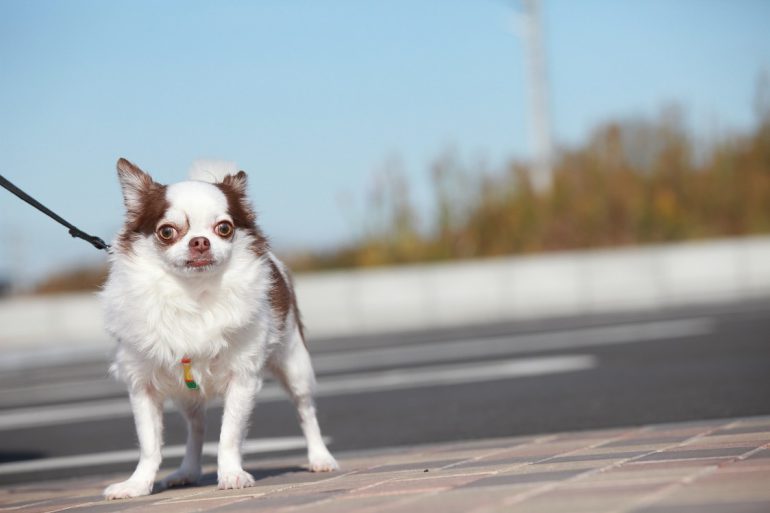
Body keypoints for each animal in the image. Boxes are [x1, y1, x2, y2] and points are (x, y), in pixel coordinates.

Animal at [100, 158, 336, 498]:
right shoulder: (142, 384)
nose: (200, 241)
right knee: (197, 427)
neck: (194, 294)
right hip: (186, 394)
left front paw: (232, 475)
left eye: (224, 228)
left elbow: (229, 435)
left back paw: (320, 458)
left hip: (294, 364)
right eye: (167, 232)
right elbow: (149, 444)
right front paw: (137, 484)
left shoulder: (243, 378)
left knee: (306, 411)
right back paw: (187, 471)